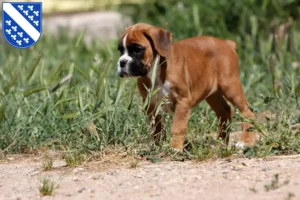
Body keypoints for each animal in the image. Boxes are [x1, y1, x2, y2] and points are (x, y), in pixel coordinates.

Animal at [116, 23, 256, 152]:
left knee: (247, 112)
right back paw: (220, 143)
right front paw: (158, 146)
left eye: (137, 49)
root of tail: (227, 43)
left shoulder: (182, 101)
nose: (122, 62)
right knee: (225, 111)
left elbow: (177, 127)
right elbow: (156, 127)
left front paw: (175, 148)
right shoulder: (151, 105)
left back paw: (245, 142)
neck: (156, 69)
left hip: (230, 86)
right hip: (212, 93)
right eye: (120, 50)